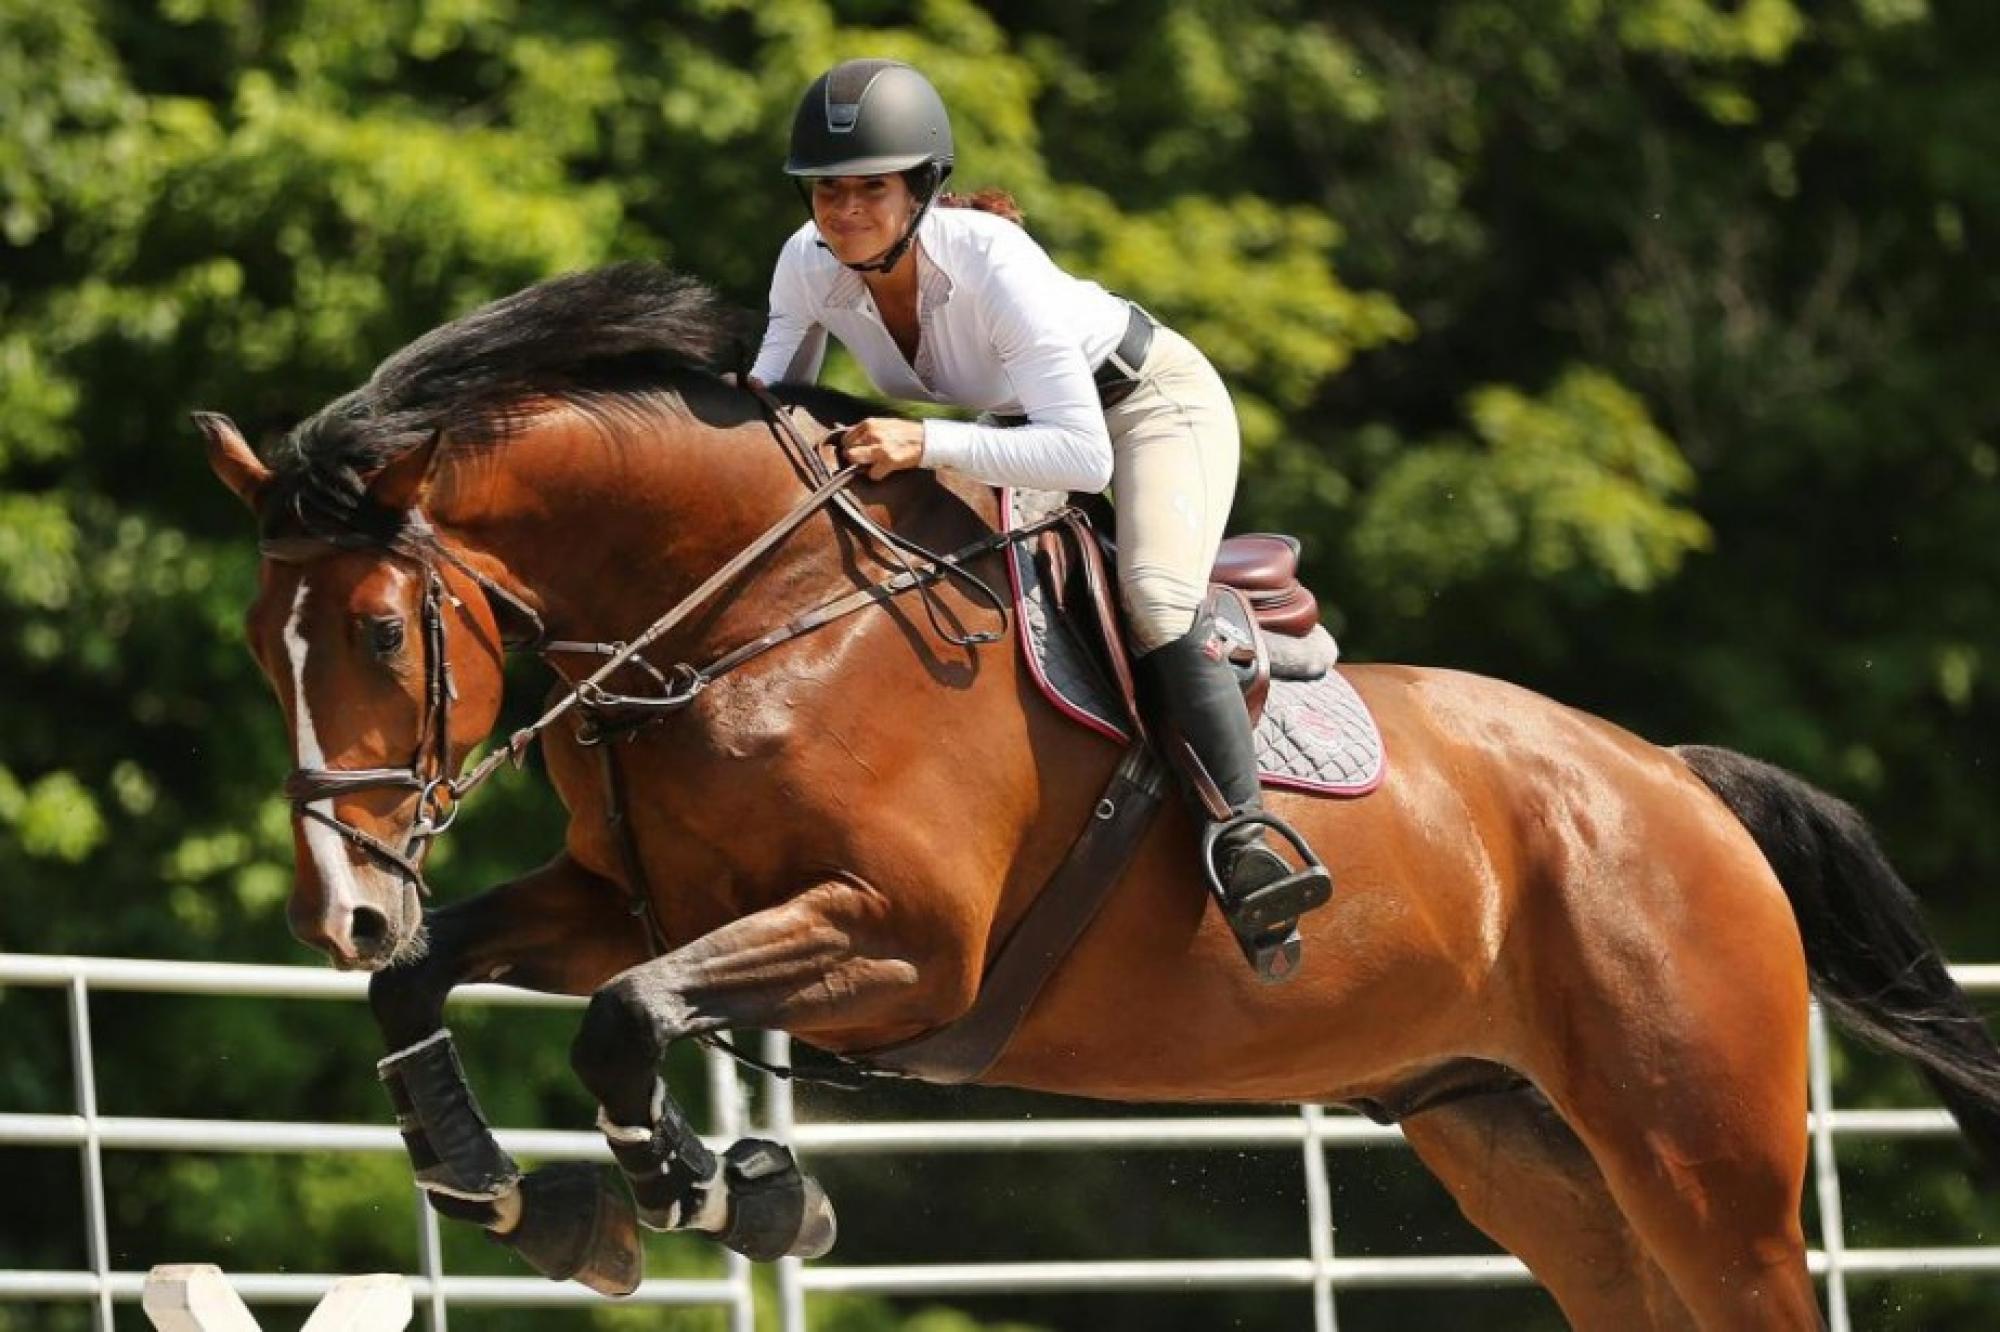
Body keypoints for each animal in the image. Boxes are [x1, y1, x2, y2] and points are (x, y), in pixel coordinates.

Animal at [203, 264, 2000, 1320]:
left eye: (377, 630)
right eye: (251, 644)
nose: (336, 904)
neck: (739, 619)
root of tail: (1671, 783)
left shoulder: (904, 944)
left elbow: (628, 1020)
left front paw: (738, 1193)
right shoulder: (623, 901)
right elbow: (447, 983)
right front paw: (516, 1192)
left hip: (1704, 1163)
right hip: (1520, 1143)